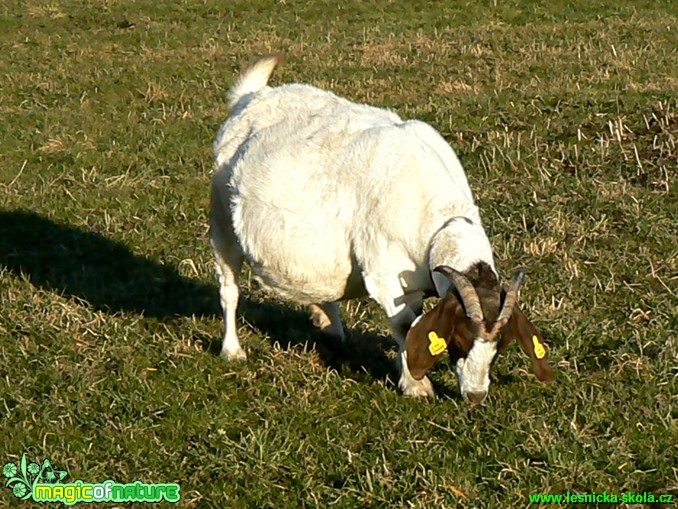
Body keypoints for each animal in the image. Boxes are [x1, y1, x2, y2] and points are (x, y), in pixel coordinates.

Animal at [212, 55, 556, 402]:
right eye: (459, 337)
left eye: (502, 344)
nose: (475, 395)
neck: (440, 218)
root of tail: (251, 97)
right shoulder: (384, 271)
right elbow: (405, 324)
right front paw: (416, 385)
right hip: (222, 222)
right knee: (229, 288)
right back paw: (232, 350)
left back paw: (330, 326)